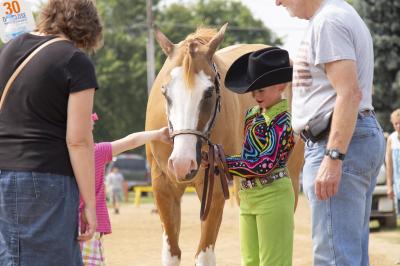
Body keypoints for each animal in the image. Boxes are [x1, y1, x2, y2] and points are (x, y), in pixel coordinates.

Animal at [144, 23, 304, 264]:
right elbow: (172, 253)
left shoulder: (214, 188)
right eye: (165, 92)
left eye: (209, 93)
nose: (182, 164)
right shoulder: (163, 186)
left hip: (291, 177)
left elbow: (204, 255)